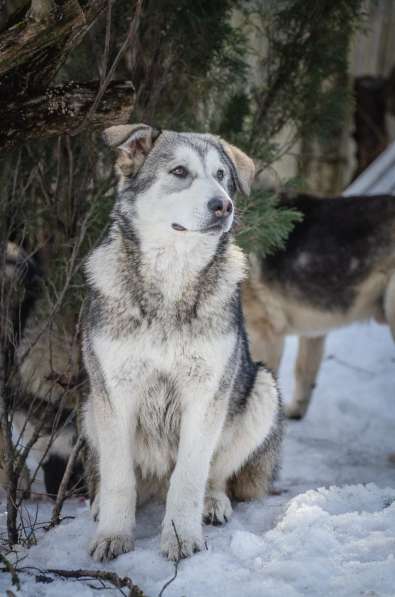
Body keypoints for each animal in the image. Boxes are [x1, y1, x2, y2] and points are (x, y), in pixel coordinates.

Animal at [82, 123, 284, 560]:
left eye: (222, 175)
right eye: (179, 172)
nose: (223, 205)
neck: (171, 282)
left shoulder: (205, 393)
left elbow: (190, 477)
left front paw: (181, 537)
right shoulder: (116, 391)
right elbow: (119, 478)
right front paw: (113, 535)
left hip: (262, 390)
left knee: (216, 475)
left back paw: (213, 502)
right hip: (89, 406)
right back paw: (100, 502)